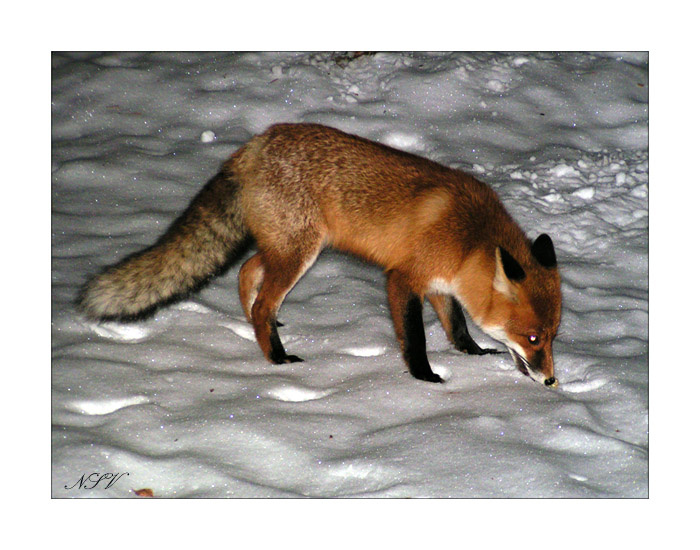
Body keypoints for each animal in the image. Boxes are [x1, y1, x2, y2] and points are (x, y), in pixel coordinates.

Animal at [79, 123, 562, 387]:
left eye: (552, 336)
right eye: (533, 338)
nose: (552, 379)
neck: (468, 239)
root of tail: (257, 142)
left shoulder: (439, 283)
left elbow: (457, 325)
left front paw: (472, 353)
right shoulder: (403, 278)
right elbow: (416, 339)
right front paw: (425, 377)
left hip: (288, 248)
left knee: (249, 272)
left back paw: (263, 326)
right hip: (300, 253)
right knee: (262, 300)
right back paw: (276, 358)